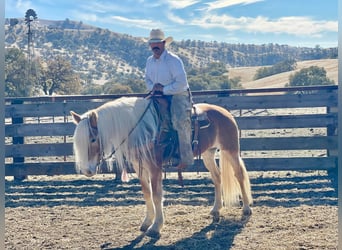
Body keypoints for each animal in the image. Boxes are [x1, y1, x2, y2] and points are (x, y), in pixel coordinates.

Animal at [70, 96, 251, 238]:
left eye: (93, 139)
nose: (87, 170)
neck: (142, 130)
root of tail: (225, 112)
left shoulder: (154, 167)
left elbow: (156, 195)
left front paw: (156, 227)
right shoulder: (140, 167)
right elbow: (147, 193)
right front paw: (147, 222)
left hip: (230, 150)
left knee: (239, 175)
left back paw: (246, 210)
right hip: (208, 153)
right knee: (217, 177)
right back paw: (215, 210)